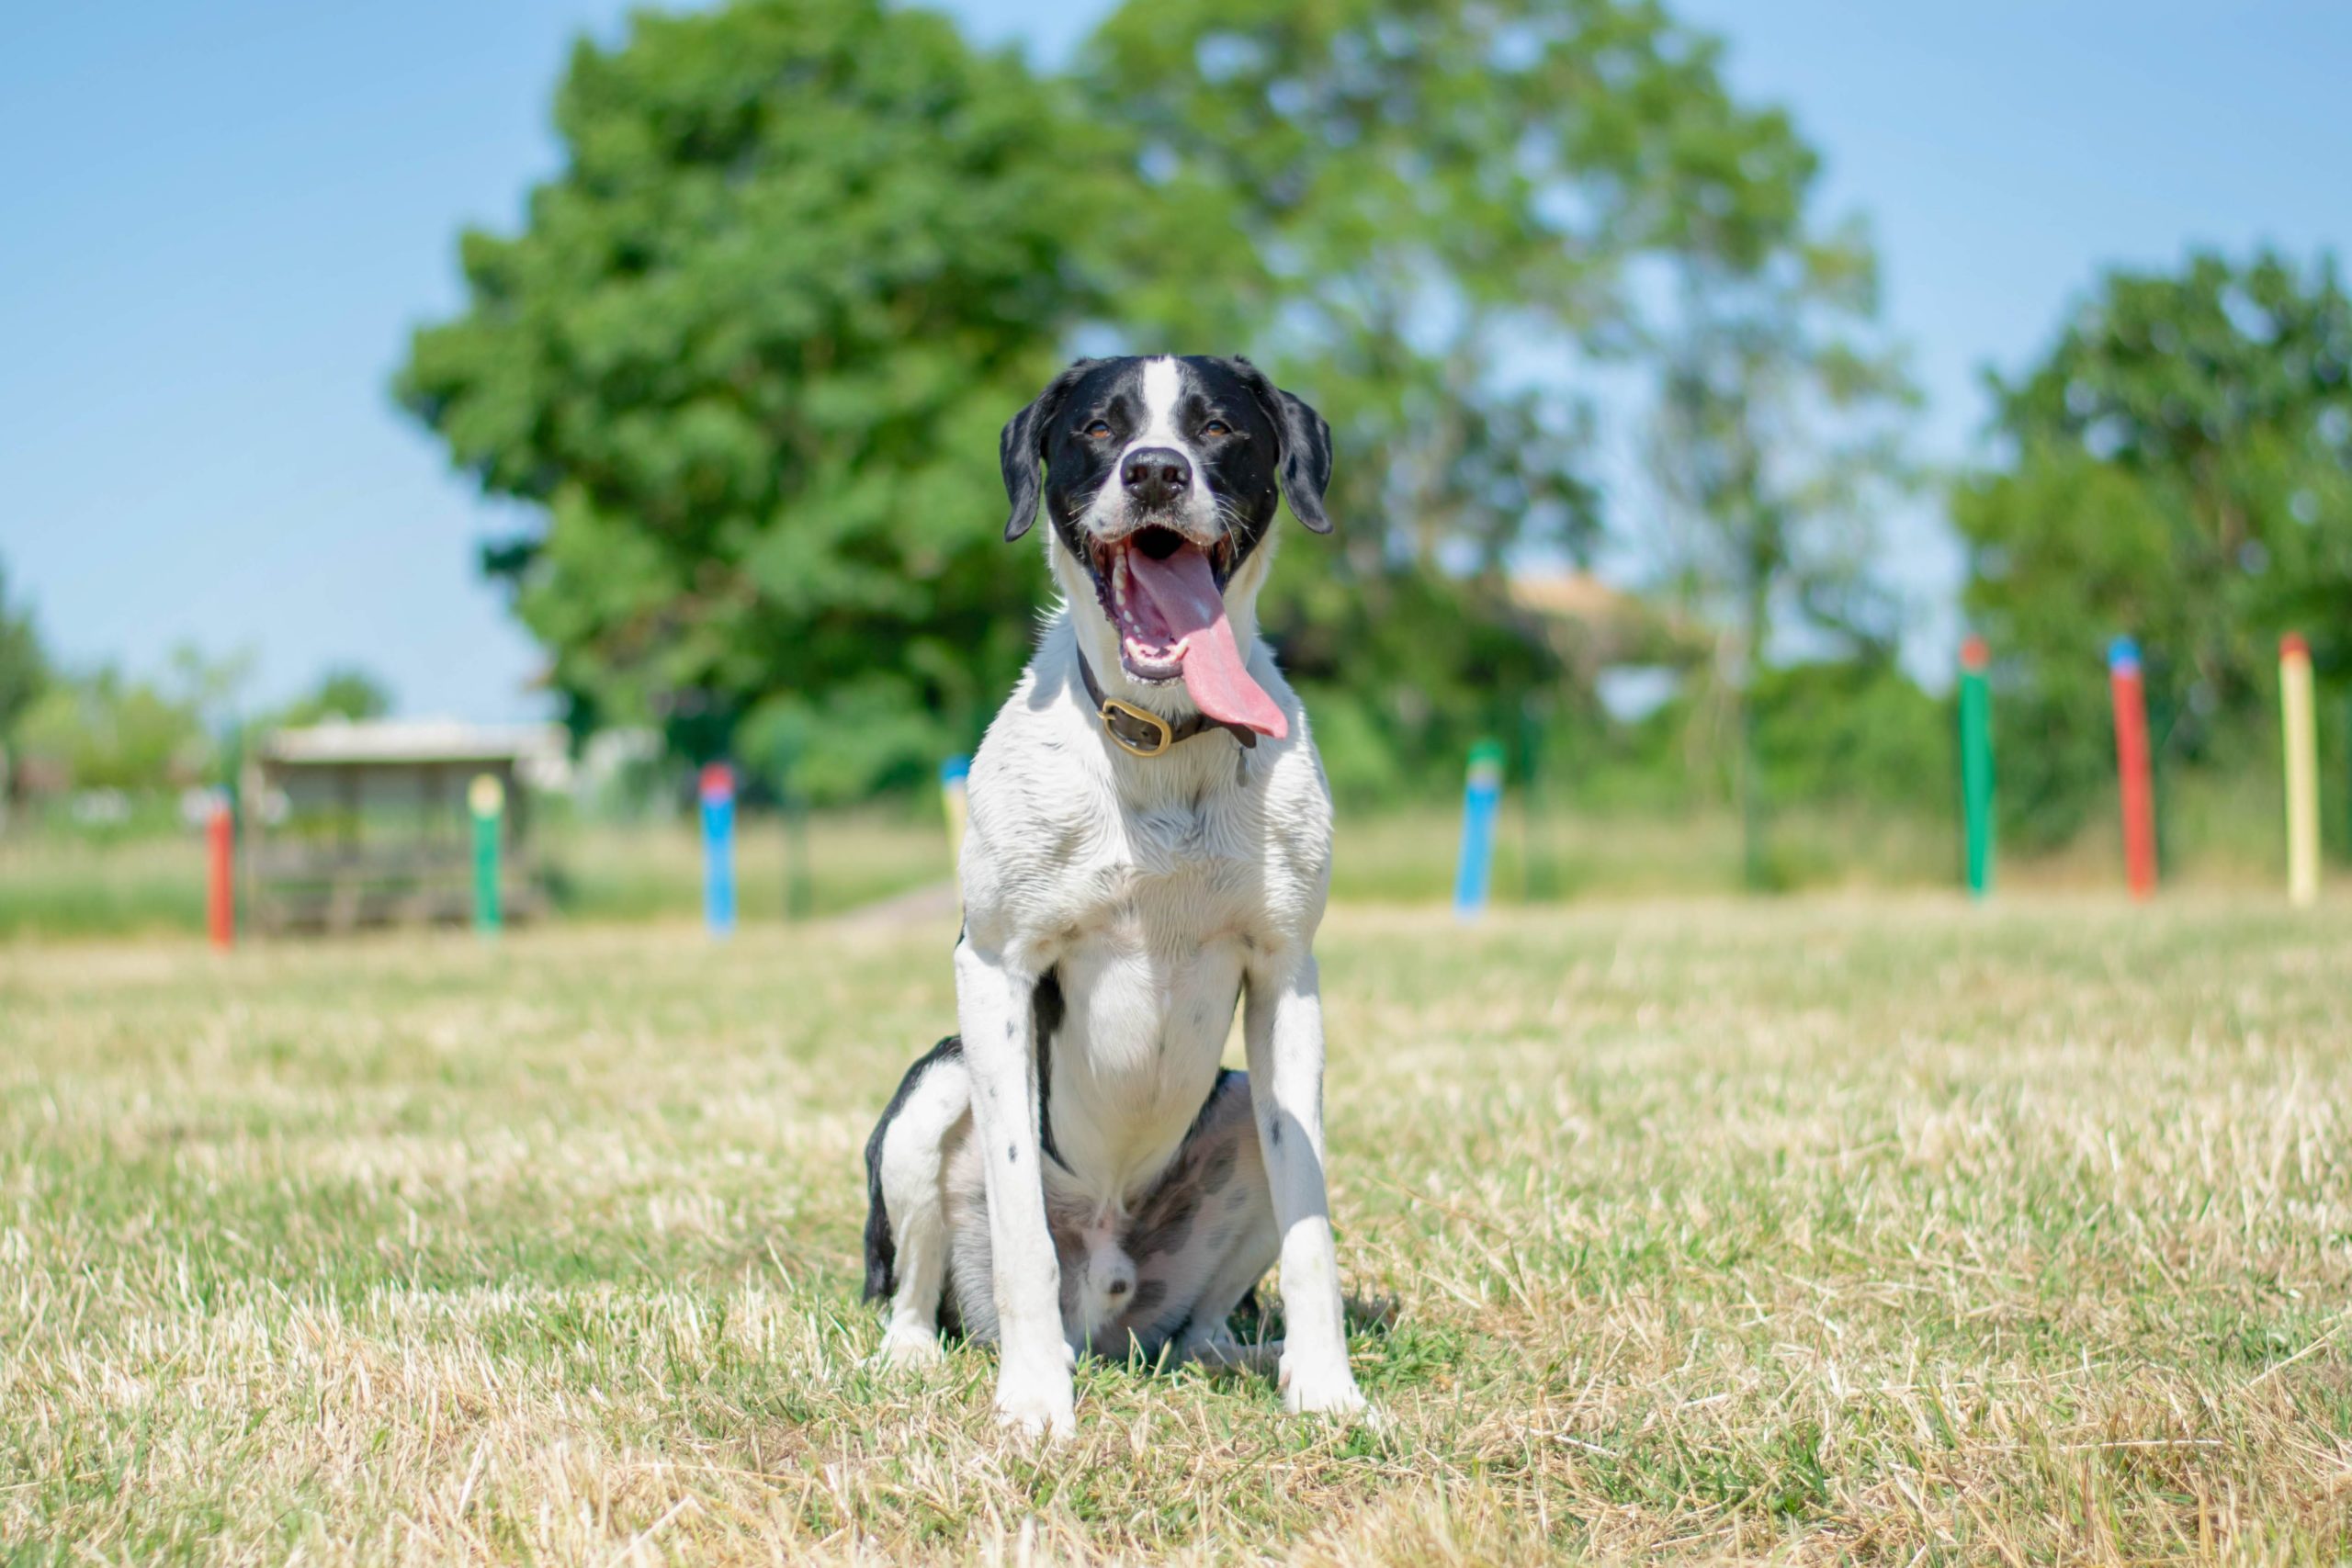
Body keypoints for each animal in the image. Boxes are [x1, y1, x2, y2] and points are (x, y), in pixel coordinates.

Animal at [870, 352, 1374, 1438]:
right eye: (1099, 429)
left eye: (1216, 427)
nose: (1154, 471)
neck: (1163, 735)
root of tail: (1101, 1312)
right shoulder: (995, 968)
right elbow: (1019, 1216)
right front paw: (1032, 1402)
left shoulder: (1287, 978)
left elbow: (1312, 1228)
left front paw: (1327, 1389)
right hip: (932, 1095)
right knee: (913, 1288)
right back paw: (916, 1357)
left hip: (1237, 1110)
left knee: (1201, 1321)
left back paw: (1240, 1355)